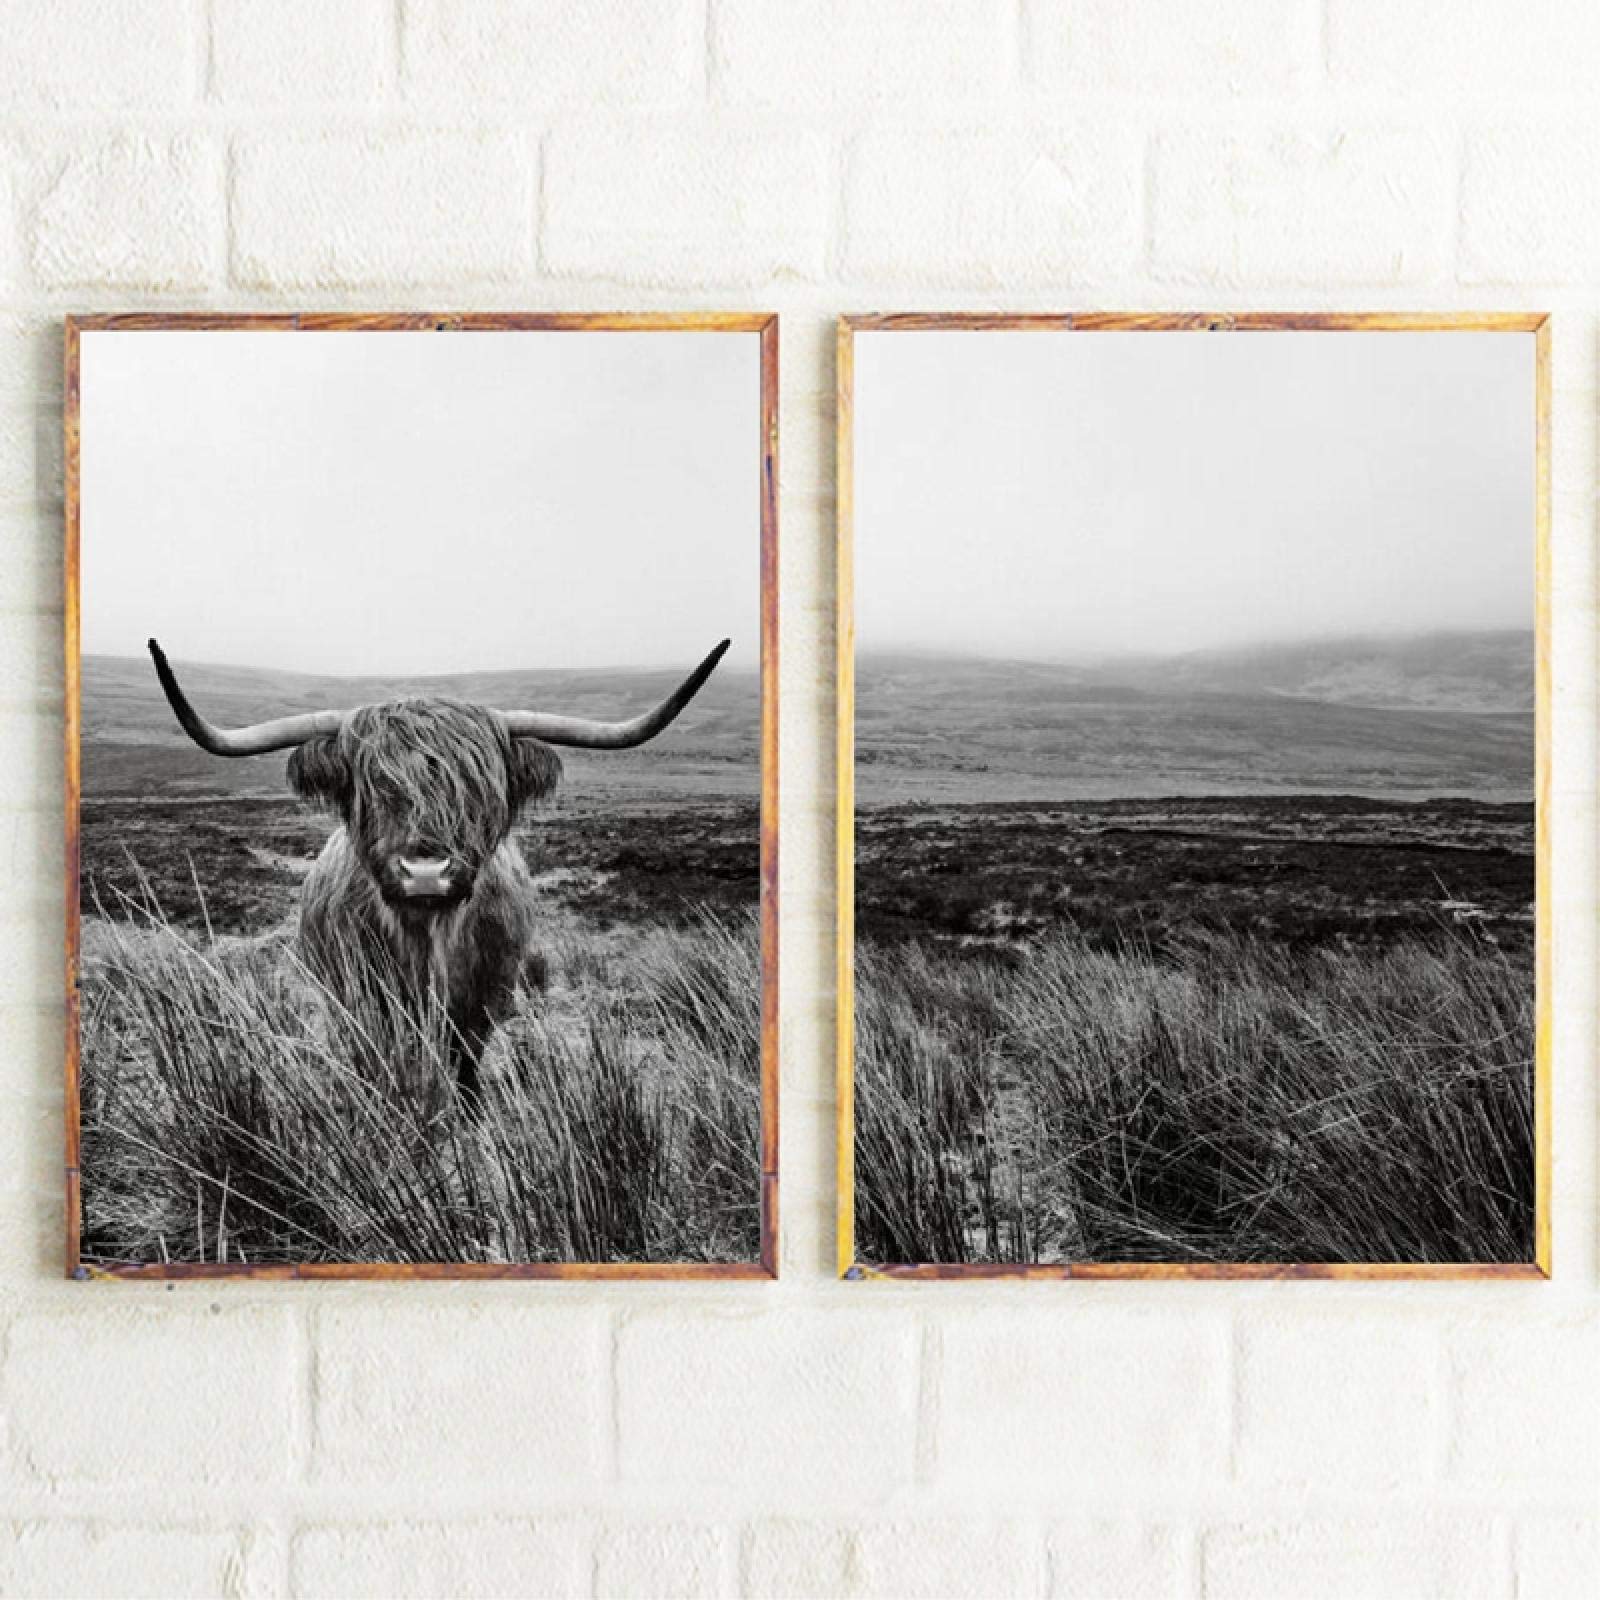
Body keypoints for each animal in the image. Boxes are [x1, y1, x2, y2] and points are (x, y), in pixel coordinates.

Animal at [147, 637, 729, 1104]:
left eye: (478, 787)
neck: (426, 941)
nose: (424, 871)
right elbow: (379, 1064)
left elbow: (466, 1064)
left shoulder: (485, 999)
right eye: (371, 786)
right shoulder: (360, 999)